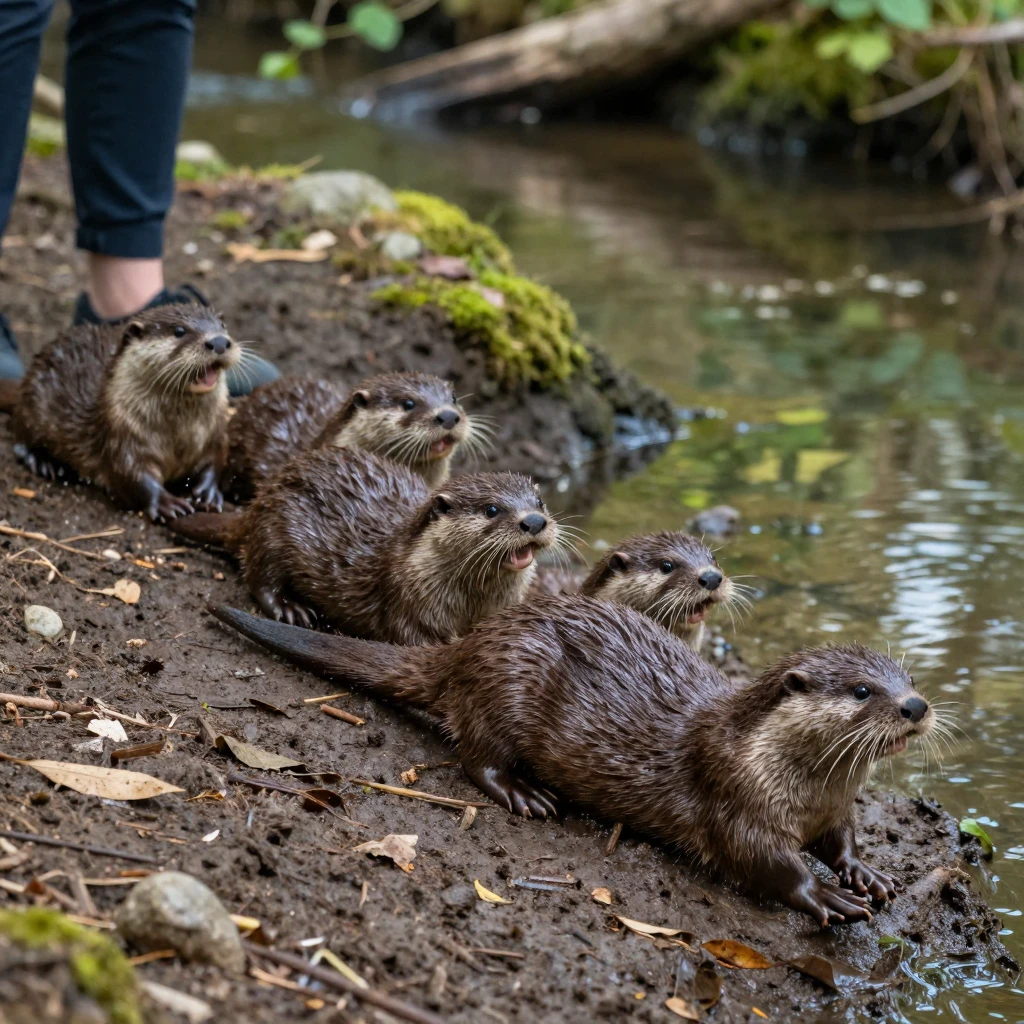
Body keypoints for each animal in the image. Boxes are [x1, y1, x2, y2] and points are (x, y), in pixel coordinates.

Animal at [6, 305, 240, 521]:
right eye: (179, 330)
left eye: (222, 326)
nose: (219, 342)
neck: (178, 436)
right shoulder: (121, 434)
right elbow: (132, 475)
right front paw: (166, 502)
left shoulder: (215, 432)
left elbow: (215, 461)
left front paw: (208, 493)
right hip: (32, 403)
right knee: (21, 436)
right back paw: (42, 461)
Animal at [176, 445, 562, 640]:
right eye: (492, 509)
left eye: (539, 502)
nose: (534, 521)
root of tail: (258, 501)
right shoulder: (409, 605)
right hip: (275, 528)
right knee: (259, 576)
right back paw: (290, 608)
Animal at [209, 596, 938, 926]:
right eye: (863, 691)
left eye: (906, 677)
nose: (916, 705)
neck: (797, 784)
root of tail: (474, 642)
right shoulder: (736, 797)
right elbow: (763, 861)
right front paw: (825, 895)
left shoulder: (834, 807)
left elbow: (842, 838)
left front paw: (864, 872)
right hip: (510, 683)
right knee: (475, 754)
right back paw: (523, 794)